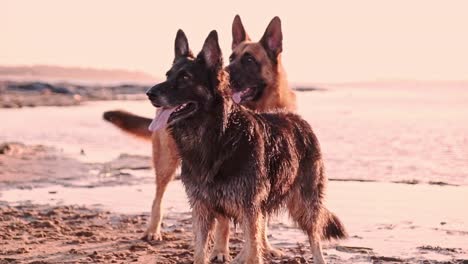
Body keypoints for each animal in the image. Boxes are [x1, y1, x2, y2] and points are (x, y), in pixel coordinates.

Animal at [103, 14, 300, 260]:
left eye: (249, 60)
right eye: (231, 57)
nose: (149, 93)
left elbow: (258, 220)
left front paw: (263, 246)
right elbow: (223, 222)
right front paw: (220, 251)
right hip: (166, 162)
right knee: (159, 196)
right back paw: (154, 230)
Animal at [146, 31, 348, 264]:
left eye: (185, 78)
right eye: (168, 75)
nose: (149, 93)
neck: (217, 136)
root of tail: (297, 118)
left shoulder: (248, 206)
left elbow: (254, 247)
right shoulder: (203, 208)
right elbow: (202, 251)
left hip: (305, 203)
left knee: (313, 236)